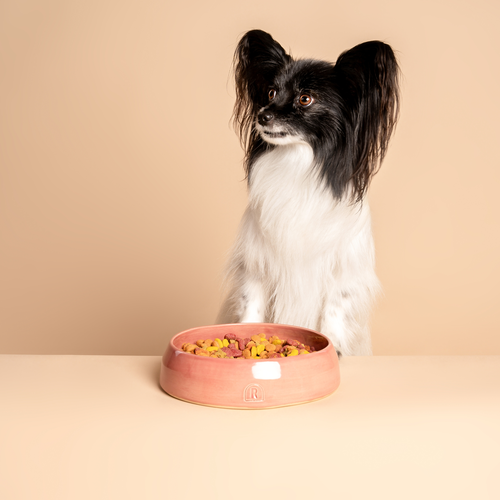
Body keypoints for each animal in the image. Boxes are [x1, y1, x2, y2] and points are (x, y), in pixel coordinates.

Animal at [217, 29, 400, 356]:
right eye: (271, 93)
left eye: (305, 99)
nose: (262, 116)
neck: (296, 161)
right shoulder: (256, 264)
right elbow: (252, 304)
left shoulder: (343, 269)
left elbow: (335, 308)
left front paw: (334, 348)